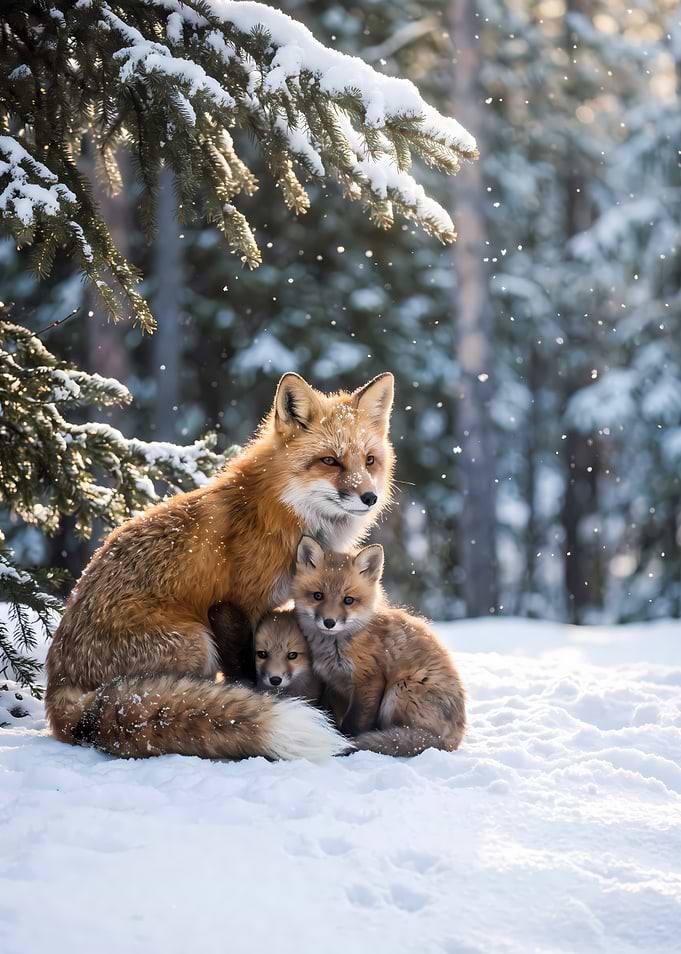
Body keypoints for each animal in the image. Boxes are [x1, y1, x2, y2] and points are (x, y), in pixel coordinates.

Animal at [45, 371, 395, 760]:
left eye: (369, 461)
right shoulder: (234, 605)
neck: (281, 512)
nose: (369, 497)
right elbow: (244, 673)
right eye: (330, 461)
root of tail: (60, 686)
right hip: (196, 642)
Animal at [291, 536, 467, 757]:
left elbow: (354, 723)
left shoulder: (369, 680)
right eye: (317, 595)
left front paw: (347, 741)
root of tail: (454, 739)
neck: (337, 647)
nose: (329, 622)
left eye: (348, 600)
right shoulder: (335, 685)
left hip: (399, 690)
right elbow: (333, 714)